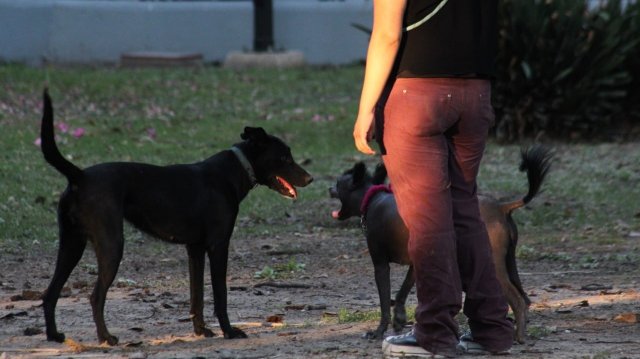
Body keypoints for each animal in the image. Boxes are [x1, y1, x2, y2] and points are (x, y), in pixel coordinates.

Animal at [38, 90, 314, 346]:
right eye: (284, 157)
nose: (310, 178)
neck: (233, 170)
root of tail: (80, 176)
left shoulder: (195, 249)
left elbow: (197, 295)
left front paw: (201, 330)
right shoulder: (218, 245)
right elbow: (220, 294)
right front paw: (228, 331)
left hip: (71, 244)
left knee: (50, 293)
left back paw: (54, 335)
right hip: (110, 244)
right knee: (95, 296)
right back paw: (106, 337)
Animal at [328, 146, 552, 344]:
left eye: (338, 183)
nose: (328, 188)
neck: (373, 198)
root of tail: (502, 207)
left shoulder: (381, 265)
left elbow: (384, 301)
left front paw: (378, 331)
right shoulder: (415, 264)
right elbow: (402, 292)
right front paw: (399, 319)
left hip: (492, 265)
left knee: (518, 300)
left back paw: (517, 337)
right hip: (508, 262)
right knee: (525, 299)